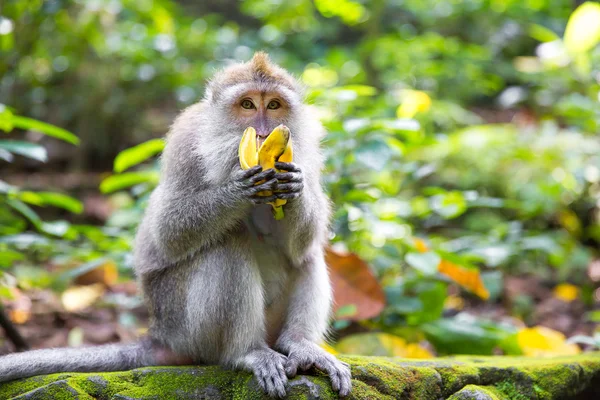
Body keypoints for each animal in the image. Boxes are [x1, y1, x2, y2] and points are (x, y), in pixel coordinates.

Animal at [0, 52, 352, 396]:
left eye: (275, 105)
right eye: (248, 105)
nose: (265, 132)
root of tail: (160, 334)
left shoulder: (307, 148)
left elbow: (301, 243)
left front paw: (294, 187)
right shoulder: (185, 141)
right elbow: (168, 230)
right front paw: (237, 190)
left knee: (306, 256)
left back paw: (300, 346)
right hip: (184, 325)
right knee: (227, 245)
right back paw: (247, 351)